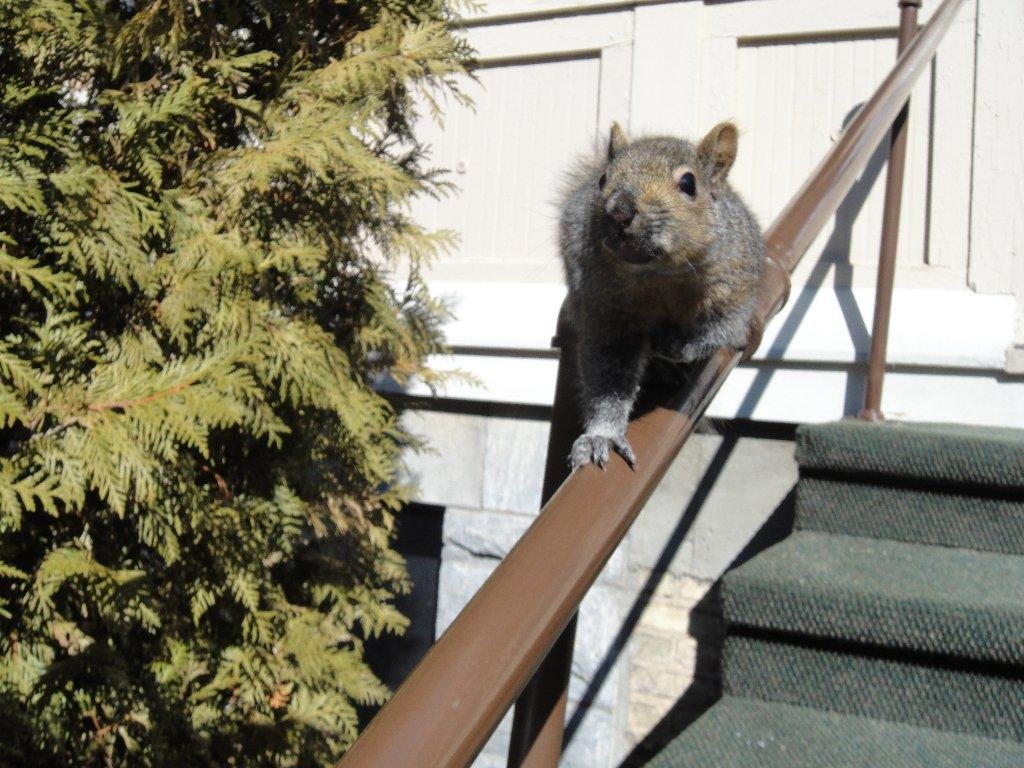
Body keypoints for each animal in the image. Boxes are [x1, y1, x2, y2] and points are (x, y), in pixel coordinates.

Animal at [558, 121, 765, 470]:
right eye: (603, 179)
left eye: (688, 183)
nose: (619, 211)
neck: (660, 273)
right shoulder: (607, 311)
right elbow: (608, 379)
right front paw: (603, 435)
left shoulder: (733, 291)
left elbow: (720, 332)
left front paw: (679, 346)